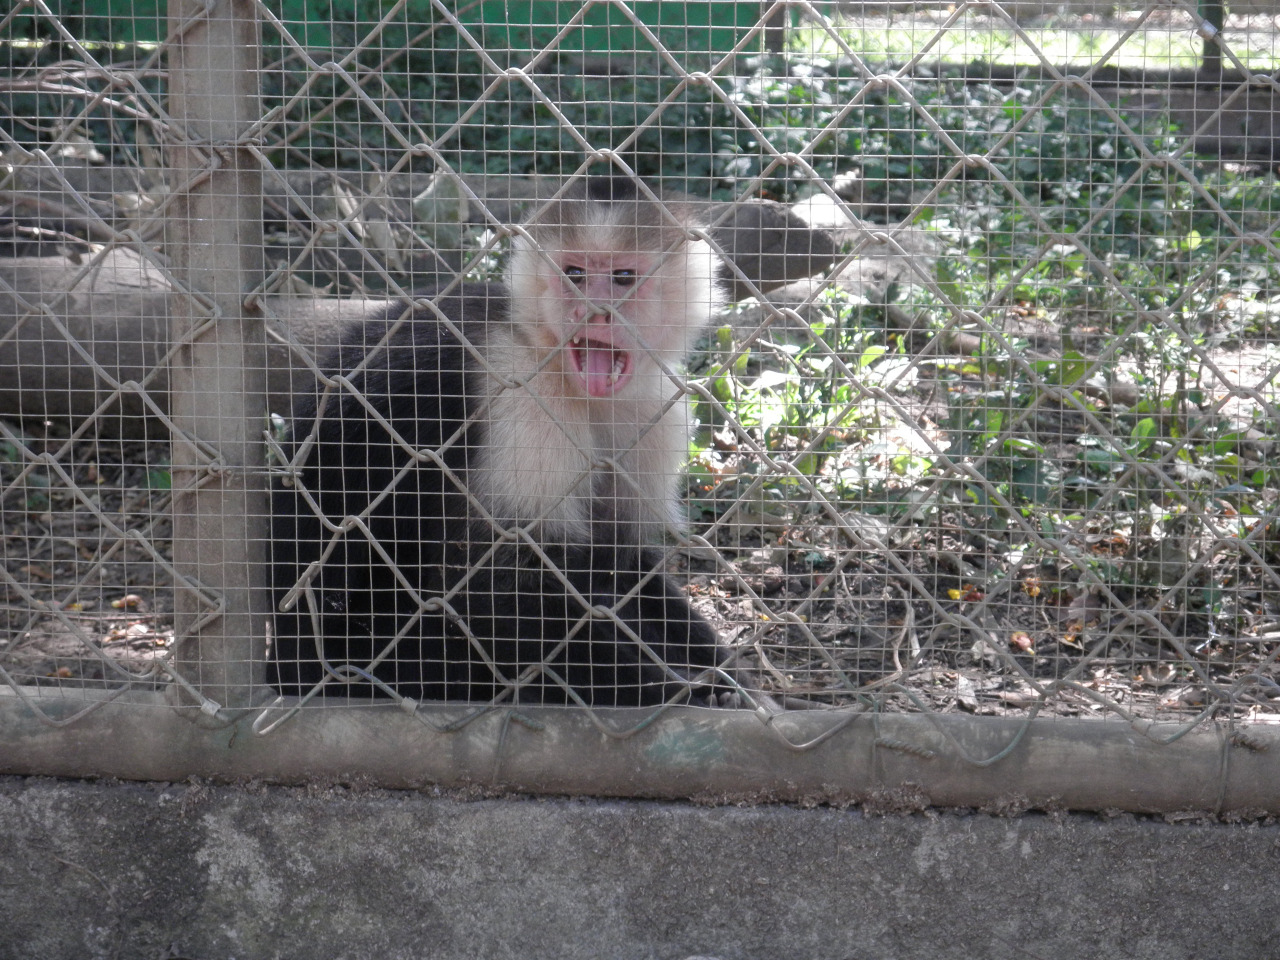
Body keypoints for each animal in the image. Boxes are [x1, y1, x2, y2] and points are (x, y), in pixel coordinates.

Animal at [267, 175, 741, 708]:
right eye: (575, 274)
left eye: (622, 277)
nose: (594, 312)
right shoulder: (517, 384)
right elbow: (494, 585)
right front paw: (674, 691)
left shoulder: (656, 410)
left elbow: (621, 560)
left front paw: (719, 669)